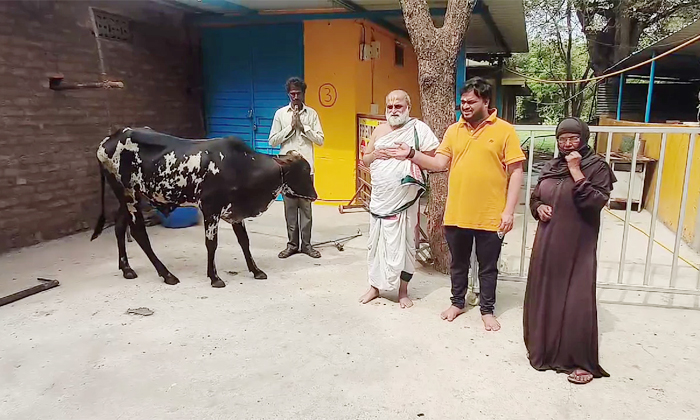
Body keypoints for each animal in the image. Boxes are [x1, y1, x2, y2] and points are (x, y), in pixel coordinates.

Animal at [90, 126, 318, 288]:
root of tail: (107, 140)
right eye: (303, 172)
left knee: (120, 228)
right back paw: (167, 275)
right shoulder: (210, 209)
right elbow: (212, 244)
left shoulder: (235, 212)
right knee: (139, 233)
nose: (315, 196)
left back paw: (127, 269)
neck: (240, 166)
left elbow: (245, 242)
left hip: (127, 198)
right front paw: (214, 277)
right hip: (129, 197)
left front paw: (256, 270)